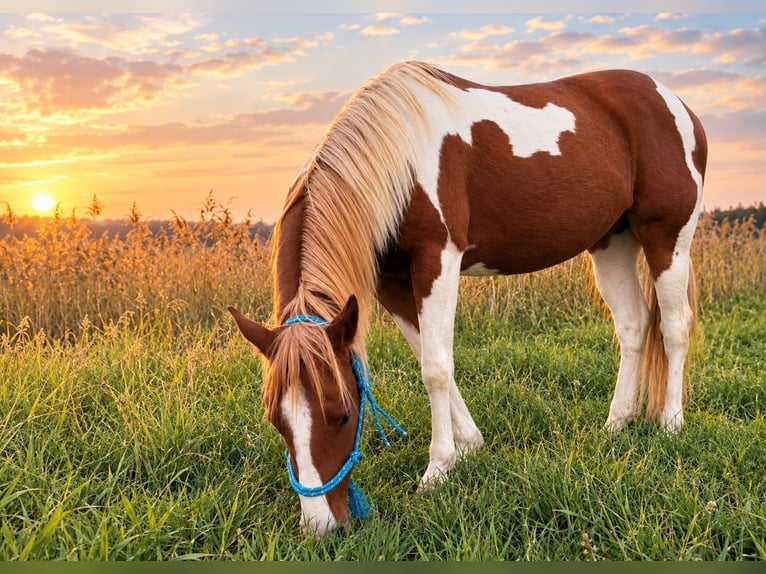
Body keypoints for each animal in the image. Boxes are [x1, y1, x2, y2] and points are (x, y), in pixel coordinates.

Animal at [228, 61, 707, 537]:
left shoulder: (437, 259)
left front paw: (438, 469)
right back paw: (616, 423)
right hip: (612, 241)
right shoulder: (391, 282)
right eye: (276, 420)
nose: (320, 526)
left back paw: (671, 424)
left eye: (344, 414)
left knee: (674, 328)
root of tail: (677, 103)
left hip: (668, 239)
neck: (399, 156)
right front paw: (470, 444)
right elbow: (427, 355)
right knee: (633, 326)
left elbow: (436, 368)